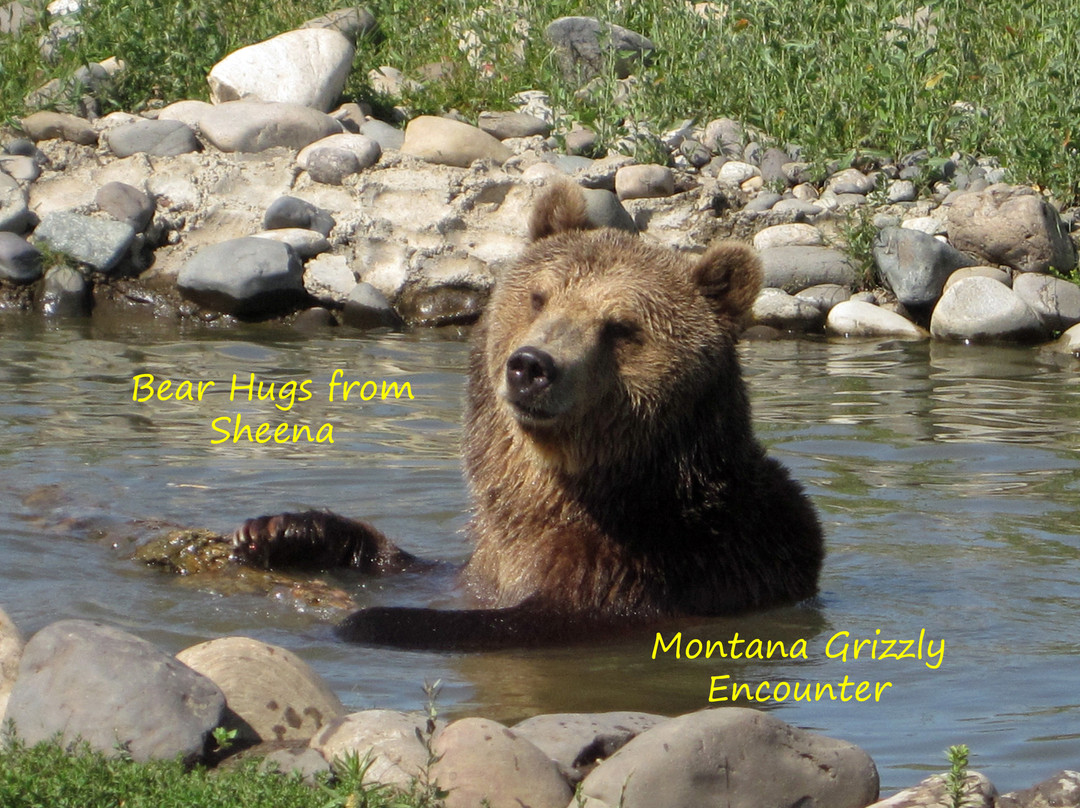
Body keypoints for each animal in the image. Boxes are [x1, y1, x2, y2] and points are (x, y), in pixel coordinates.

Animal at [229, 182, 824, 649]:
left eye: (621, 327)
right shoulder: (490, 560)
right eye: (540, 297)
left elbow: (528, 620)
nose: (532, 365)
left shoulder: (655, 569)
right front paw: (280, 530)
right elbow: (425, 570)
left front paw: (371, 618)